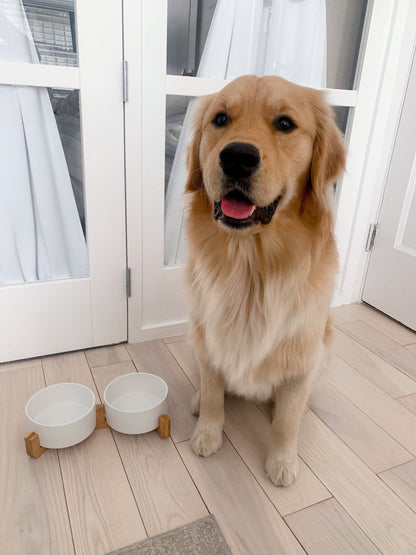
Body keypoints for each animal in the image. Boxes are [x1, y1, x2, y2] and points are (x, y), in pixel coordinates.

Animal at [184, 75, 344, 486]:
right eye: (220, 119)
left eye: (285, 124)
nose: (237, 156)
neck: (250, 266)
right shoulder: (207, 337)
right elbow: (213, 392)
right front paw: (207, 434)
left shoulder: (303, 354)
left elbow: (287, 420)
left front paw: (282, 462)